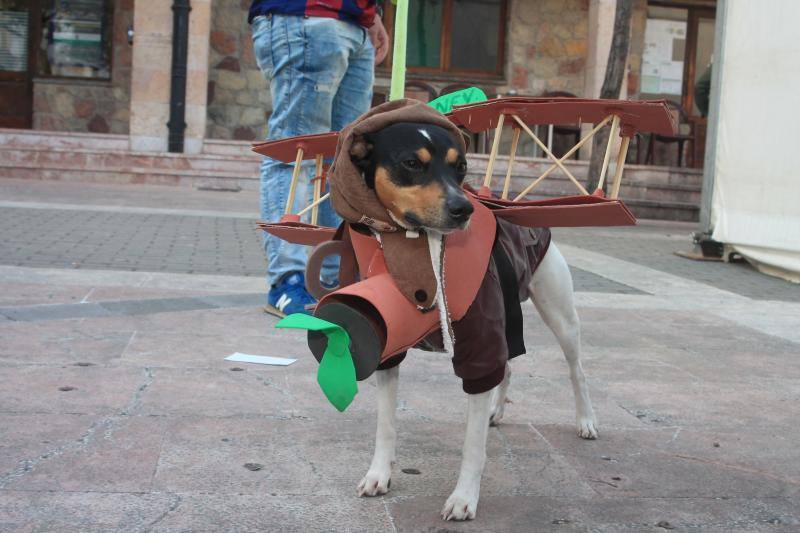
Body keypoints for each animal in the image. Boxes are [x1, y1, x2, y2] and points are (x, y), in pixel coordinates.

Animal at [346, 120, 596, 520]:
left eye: (461, 167)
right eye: (411, 163)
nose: (464, 209)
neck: (420, 252)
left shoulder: (480, 347)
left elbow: (473, 445)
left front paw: (464, 497)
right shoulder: (388, 350)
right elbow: (385, 425)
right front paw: (378, 474)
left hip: (560, 315)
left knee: (577, 370)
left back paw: (585, 420)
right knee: (507, 367)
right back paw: (496, 411)